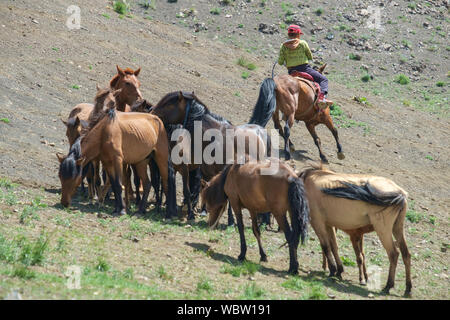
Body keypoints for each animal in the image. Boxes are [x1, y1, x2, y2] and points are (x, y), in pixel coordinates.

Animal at [298, 165, 412, 298]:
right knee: (406, 254)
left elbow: (326, 246)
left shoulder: (318, 222)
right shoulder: (329, 225)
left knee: (394, 254)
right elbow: (334, 247)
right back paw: (408, 289)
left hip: (383, 230)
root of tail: (400, 193)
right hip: (397, 229)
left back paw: (388, 286)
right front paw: (339, 271)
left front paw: (332, 270)